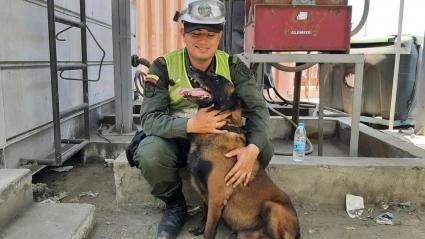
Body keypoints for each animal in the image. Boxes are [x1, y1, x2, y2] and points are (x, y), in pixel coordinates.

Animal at [181, 71, 300, 239]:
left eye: (216, 78)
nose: (191, 68)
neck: (221, 128)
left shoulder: (216, 197)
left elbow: (209, 230)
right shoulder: (205, 194)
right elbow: (204, 214)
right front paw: (200, 228)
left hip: (271, 207)